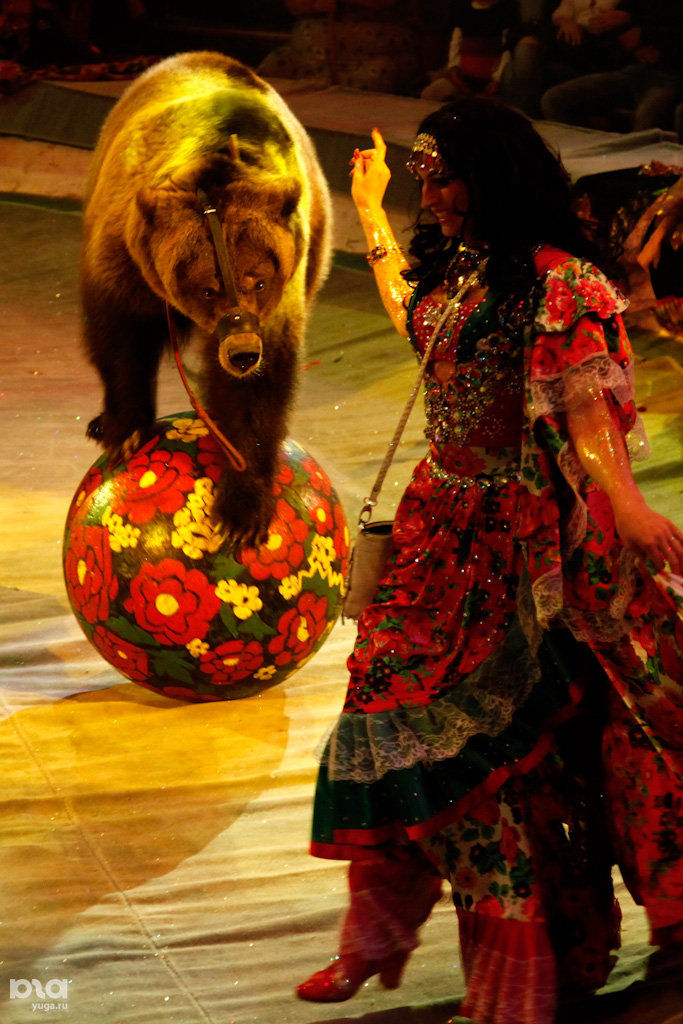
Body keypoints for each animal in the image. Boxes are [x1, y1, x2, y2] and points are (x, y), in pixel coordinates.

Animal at [80, 50, 332, 548]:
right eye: (206, 287)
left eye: (259, 280)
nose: (241, 354)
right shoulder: (127, 254)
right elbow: (121, 336)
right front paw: (124, 428)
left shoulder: (279, 303)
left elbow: (257, 392)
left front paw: (241, 511)